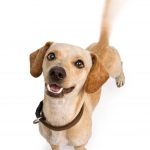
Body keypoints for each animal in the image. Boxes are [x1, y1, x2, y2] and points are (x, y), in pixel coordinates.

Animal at [29, 0, 124, 150]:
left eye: (80, 64)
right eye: (51, 56)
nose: (57, 72)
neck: (58, 112)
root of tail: (102, 43)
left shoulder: (80, 145)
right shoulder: (54, 144)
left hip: (114, 68)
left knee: (121, 64)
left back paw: (121, 78)